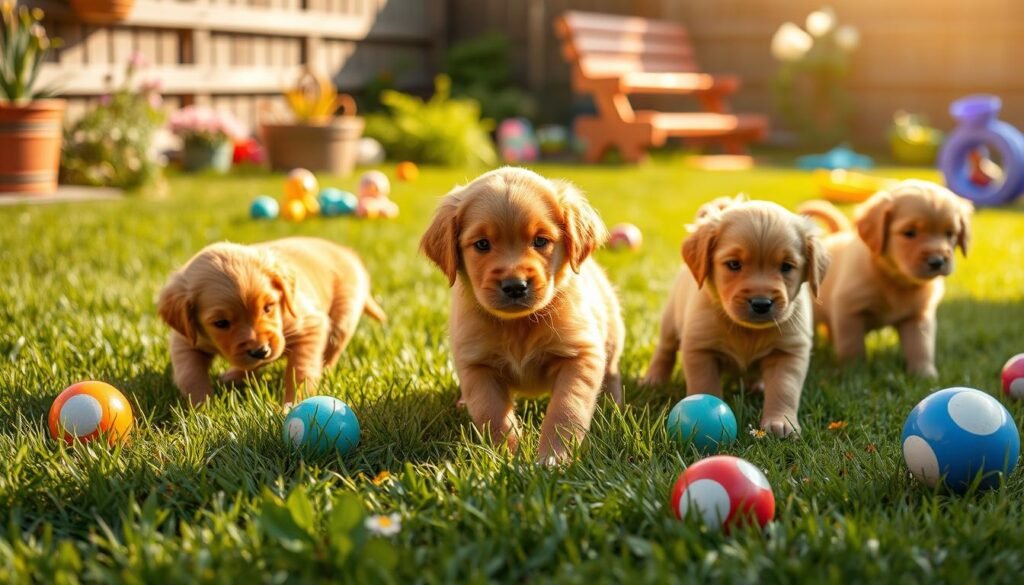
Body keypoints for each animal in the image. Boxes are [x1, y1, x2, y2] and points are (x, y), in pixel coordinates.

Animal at [155, 235, 385, 405]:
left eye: (268, 307)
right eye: (221, 323)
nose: (261, 351)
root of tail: (346, 252)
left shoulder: (310, 325)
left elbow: (300, 370)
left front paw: (292, 404)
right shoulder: (186, 339)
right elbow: (189, 373)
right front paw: (203, 409)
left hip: (343, 317)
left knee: (332, 349)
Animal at [417, 166, 622, 465]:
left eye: (540, 241)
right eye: (482, 244)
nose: (515, 286)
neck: (519, 325)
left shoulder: (580, 356)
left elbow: (565, 410)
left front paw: (553, 457)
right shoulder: (477, 365)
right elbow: (492, 414)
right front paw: (505, 457)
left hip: (613, 338)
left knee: (612, 373)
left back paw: (613, 405)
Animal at [643, 200, 827, 434]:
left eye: (786, 267)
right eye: (734, 264)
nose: (761, 303)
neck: (747, 330)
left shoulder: (788, 352)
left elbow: (784, 388)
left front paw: (780, 422)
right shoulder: (700, 348)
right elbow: (705, 383)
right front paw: (706, 410)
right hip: (670, 320)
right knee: (664, 350)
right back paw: (653, 379)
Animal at [798, 181, 966, 377]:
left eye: (950, 233)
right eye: (909, 232)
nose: (937, 262)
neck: (894, 279)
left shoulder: (917, 317)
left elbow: (920, 347)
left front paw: (924, 374)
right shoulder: (849, 312)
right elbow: (852, 346)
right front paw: (853, 372)